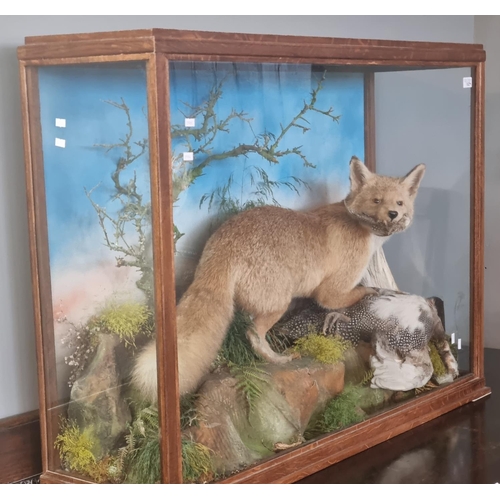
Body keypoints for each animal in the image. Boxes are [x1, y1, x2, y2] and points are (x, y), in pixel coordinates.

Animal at [133, 158, 426, 400]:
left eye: (399, 203)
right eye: (377, 201)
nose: (393, 215)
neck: (365, 234)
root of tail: (223, 244)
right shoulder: (332, 290)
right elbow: (355, 294)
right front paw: (374, 294)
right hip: (279, 303)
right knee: (252, 332)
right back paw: (277, 360)